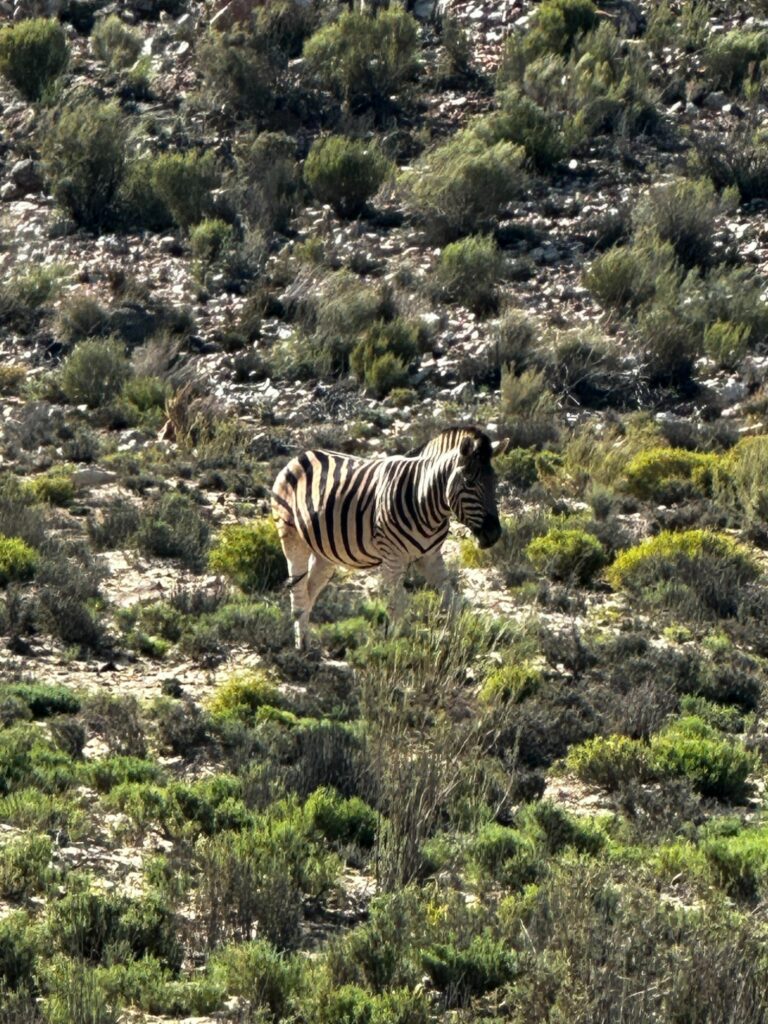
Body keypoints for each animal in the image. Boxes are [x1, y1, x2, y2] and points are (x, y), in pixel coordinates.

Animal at [270, 423, 512, 647]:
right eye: (469, 483)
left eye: (494, 482)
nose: (494, 534)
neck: (423, 499)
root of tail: (301, 456)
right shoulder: (392, 557)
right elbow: (397, 605)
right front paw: (396, 647)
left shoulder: (430, 556)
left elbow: (451, 599)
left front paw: (459, 639)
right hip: (292, 537)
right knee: (298, 592)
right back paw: (302, 648)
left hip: (325, 553)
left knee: (309, 590)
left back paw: (306, 641)